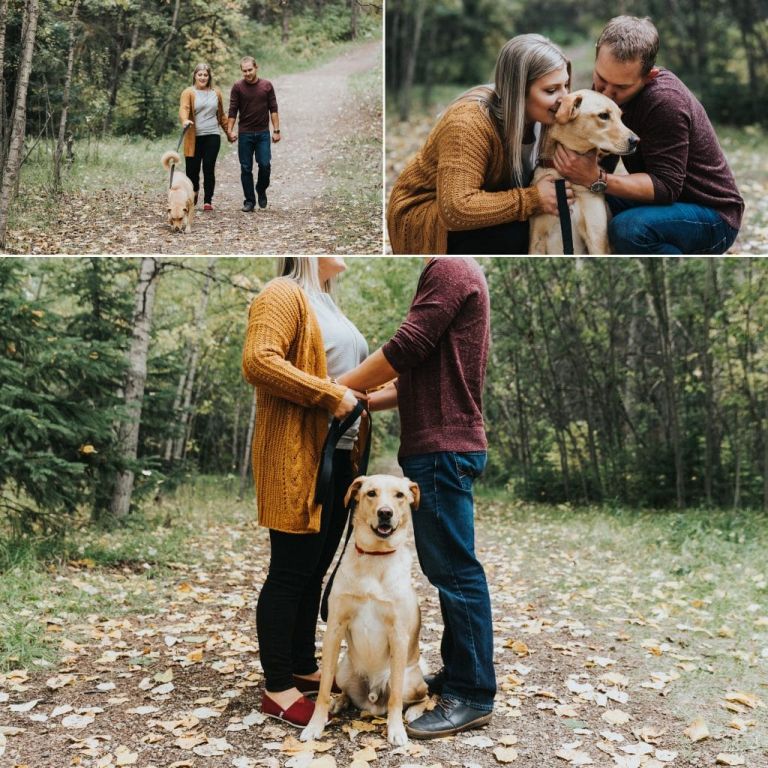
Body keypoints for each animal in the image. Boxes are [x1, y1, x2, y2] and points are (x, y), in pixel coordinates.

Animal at [300, 474, 428, 744]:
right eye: (371, 493)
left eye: (399, 495)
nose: (385, 513)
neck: (375, 557)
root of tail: (372, 698)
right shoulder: (334, 628)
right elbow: (323, 689)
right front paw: (316, 724)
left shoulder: (398, 634)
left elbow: (395, 698)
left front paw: (396, 730)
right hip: (343, 671)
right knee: (347, 693)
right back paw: (339, 702)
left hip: (410, 680)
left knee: (424, 694)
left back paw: (413, 712)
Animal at [528, 88, 640, 254]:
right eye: (603, 115)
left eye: (621, 116)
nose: (636, 141)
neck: (565, 178)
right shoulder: (537, 239)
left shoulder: (596, 238)